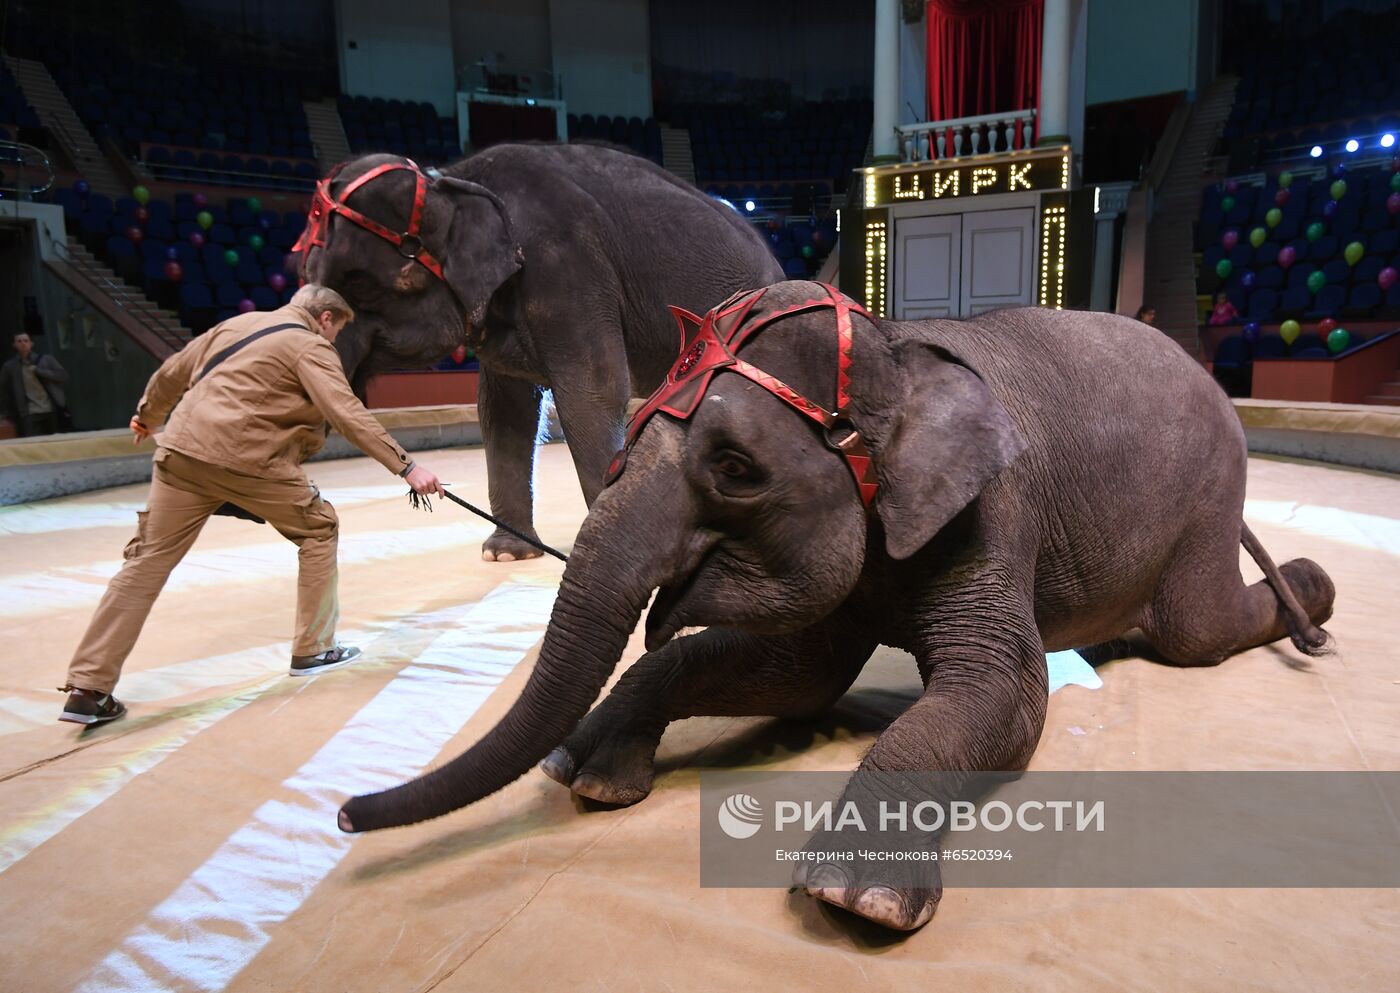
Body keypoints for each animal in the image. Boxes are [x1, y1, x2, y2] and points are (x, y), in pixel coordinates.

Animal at [296, 140, 789, 563]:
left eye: (358, 283)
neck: (454, 180)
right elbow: (503, 408)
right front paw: (506, 553)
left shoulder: (567, 270)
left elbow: (591, 392)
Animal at [336, 282, 1332, 935]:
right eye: (623, 446)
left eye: (735, 468)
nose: (344, 815)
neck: (897, 346)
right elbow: (792, 675)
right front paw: (584, 771)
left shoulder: (995, 509)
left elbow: (1006, 692)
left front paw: (854, 899)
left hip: (1209, 493)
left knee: (1192, 631)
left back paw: (1314, 588)